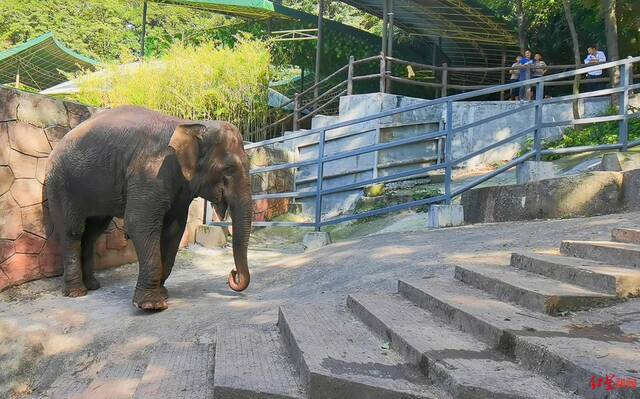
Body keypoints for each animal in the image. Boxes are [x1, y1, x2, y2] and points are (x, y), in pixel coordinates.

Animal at [45, 107, 252, 312]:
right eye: (228, 169)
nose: (233, 274)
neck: (186, 124)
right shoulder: (150, 171)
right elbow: (139, 223)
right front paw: (152, 305)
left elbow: (174, 229)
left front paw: (163, 293)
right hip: (60, 184)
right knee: (73, 231)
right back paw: (77, 292)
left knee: (93, 232)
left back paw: (93, 286)